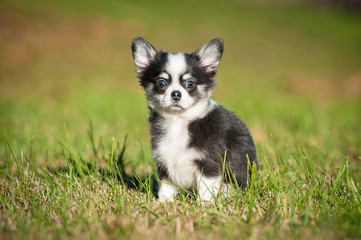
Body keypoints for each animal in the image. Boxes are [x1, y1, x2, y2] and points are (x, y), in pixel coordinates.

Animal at [131, 37, 258, 202]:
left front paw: (203, 205)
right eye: (161, 83)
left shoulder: (210, 164)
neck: (179, 121)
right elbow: (166, 189)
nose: (176, 94)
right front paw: (163, 203)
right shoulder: (165, 163)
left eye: (190, 83)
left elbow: (206, 190)